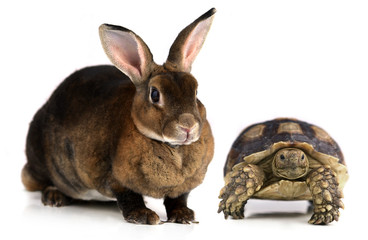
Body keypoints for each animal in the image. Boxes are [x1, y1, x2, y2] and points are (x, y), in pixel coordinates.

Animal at [21, 7, 216, 225]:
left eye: (196, 91)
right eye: (155, 94)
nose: (188, 125)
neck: (173, 148)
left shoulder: (182, 187)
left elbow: (178, 199)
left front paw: (184, 216)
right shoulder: (116, 179)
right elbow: (129, 197)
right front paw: (145, 216)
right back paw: (54, 197)